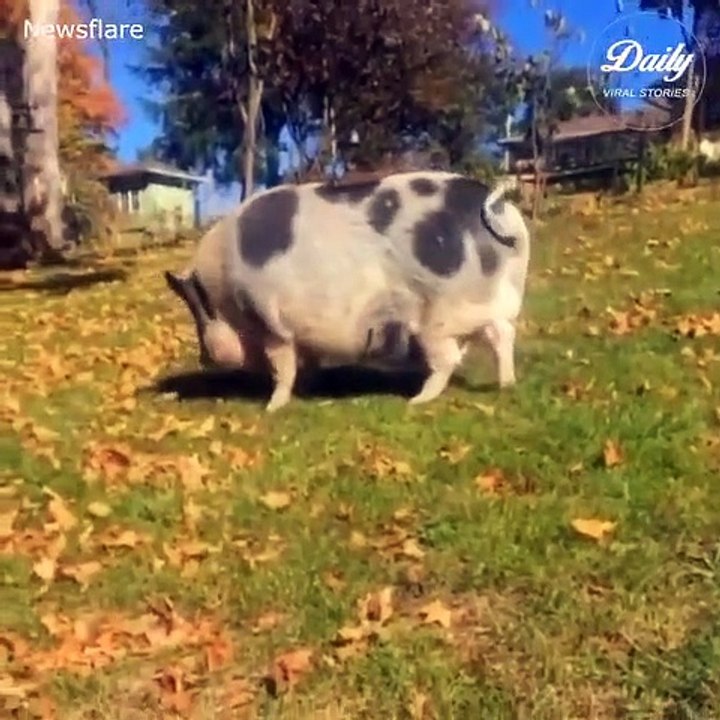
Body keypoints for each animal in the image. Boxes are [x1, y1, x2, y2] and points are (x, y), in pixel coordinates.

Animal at [165, 170, 530, 412]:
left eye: (198, 307)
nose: (204, 359)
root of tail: (495, 207)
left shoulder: (268, 319)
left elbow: (282, 365)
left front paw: (272, 407)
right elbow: (304, 362)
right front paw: (308, 388)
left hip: (435, 318)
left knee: (449, 359)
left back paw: (416, 400)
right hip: (491, 309)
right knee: (502, 338)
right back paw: (507, 385)